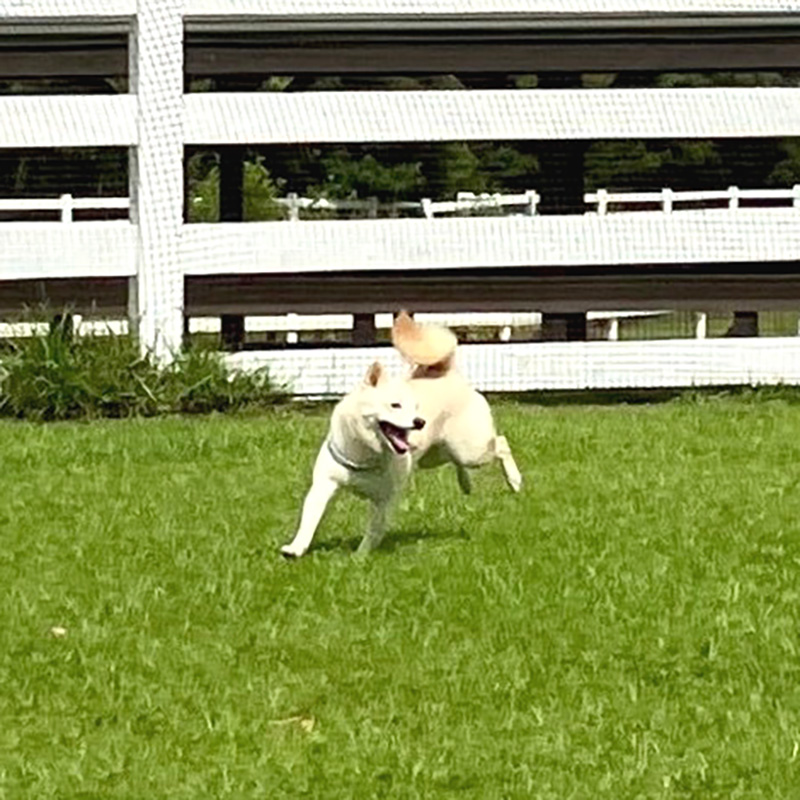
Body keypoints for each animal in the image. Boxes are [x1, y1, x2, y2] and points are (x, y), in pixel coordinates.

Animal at [278, 310, 520, 560]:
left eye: (416, 407)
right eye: (395, 405)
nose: (420, 422)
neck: (365, 455)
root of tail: (448, 372)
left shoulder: (384, 501)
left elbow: (374, 530)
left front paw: (360, 557)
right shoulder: (323, 485)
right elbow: (309, 519)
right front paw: (296, 548)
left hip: (470, 450)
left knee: (500, 443)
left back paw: (514, 480)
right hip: (436, 455)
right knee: (457, 461)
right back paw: (466, 484)